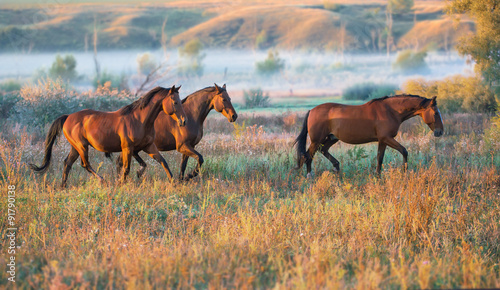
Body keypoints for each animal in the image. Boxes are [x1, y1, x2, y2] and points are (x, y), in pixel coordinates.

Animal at [30, 85, 188, 187]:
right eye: (175, 102)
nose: (183, 121)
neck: (140, 120)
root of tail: (68, 117)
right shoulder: (128, 148)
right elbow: (126, 168)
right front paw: (121, 183)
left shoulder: (148, 146)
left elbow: (162, 162)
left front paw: (173, 182)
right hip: (82, 146)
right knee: (85, 164)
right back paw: (102, 180)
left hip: (75, 147)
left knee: (67, 163)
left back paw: (63, 186)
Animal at [294, 94, 444, 177]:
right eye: (436, 113)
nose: (440, 132)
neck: (391, 111)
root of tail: (312, 110)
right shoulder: (387, 138)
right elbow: (404, 151)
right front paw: (404, 171)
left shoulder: (382, 140)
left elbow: (379, 158)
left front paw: (378, 176)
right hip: (316, 140)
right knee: (308, 155)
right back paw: (309, 176)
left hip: (331, 138)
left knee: (322, 150)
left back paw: (337, 168)